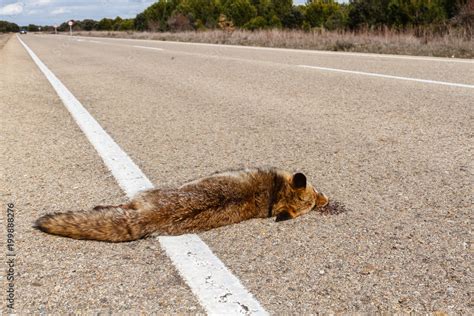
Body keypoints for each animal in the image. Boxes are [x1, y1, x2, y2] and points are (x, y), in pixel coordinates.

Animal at [35, 168, 328, 242]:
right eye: (317, 194)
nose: (327, 202)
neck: (273, 193)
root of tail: (150, 219)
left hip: (141, 198)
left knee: (121, 207)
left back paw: (100, 208)